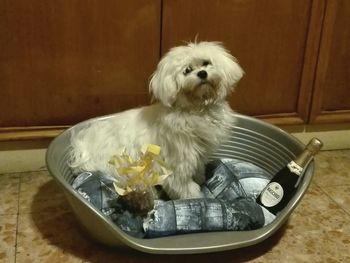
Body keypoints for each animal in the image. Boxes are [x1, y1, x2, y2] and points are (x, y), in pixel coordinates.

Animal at [68, 41, 243, 200]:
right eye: (187, 70)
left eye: (206, 63)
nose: (202, 73)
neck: (196, 109)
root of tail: (82, 147)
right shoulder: (178, 162)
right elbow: (183, 186)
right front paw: (195, 196)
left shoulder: (197, 154)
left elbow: (198, 169)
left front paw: (200, 178)